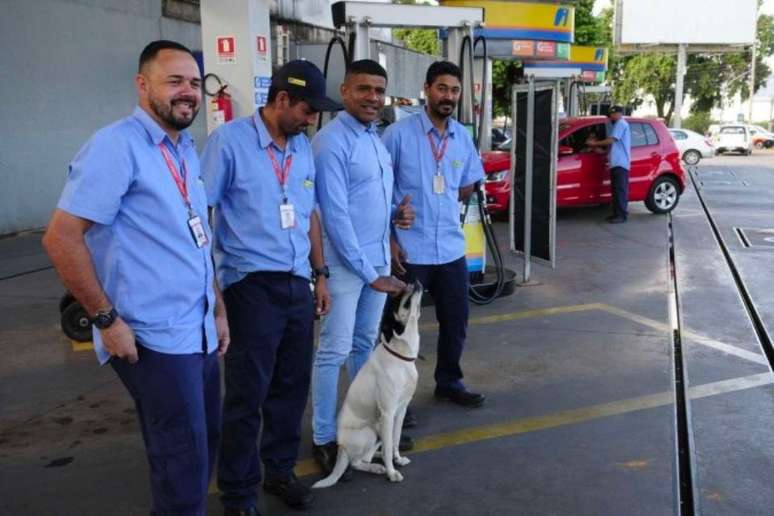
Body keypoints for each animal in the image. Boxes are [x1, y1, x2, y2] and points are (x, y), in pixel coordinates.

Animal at [312, 278, 424, 488]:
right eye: (397, 298)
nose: (413, 280)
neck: (400, 357)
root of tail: (341, 448)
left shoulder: (401, 410)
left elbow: (395, 441)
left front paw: (397, 460)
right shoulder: (388, 413)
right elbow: (389, 446)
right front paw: (392, 472)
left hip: (378, 429)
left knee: (371, 453)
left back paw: (378, 461)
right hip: (370, 431)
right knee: (357, 462)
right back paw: (378, 467)